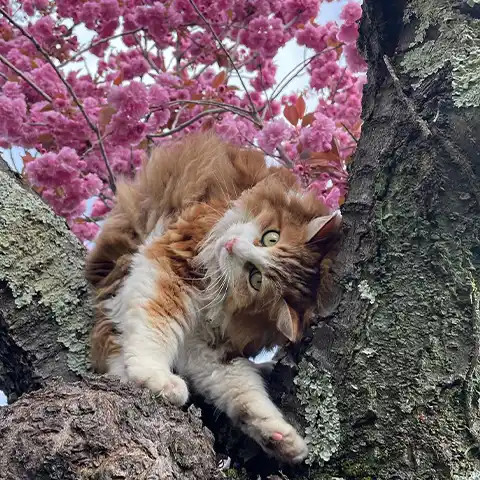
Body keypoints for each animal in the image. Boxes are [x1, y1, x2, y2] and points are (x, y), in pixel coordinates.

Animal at [85, 132, 342, 464]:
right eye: (271, 237)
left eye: (255, 279)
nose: (231, 246)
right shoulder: (172, 261)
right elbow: (155, 325)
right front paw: (154, 376)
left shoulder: (211, 347)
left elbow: (241, 392)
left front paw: (280, 438)